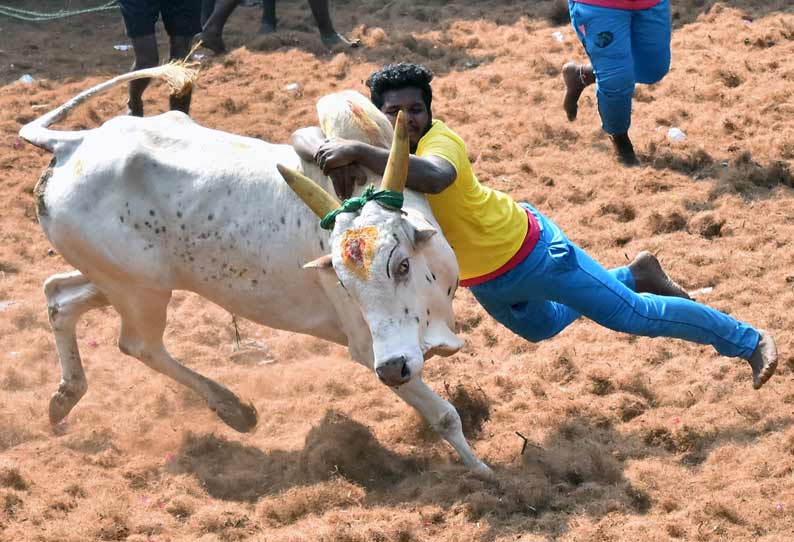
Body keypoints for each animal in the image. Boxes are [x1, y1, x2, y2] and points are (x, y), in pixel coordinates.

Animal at [18, 65, 488, 476]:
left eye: (402, 264)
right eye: (343, 283)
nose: (391, 367)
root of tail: (72, 145)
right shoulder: (366, 346)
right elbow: (444, 415)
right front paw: (483, 473)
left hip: (128, 282)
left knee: (59, 296)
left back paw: (65, 396)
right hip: (139, 292)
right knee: (137, 344)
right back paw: (234, 409)